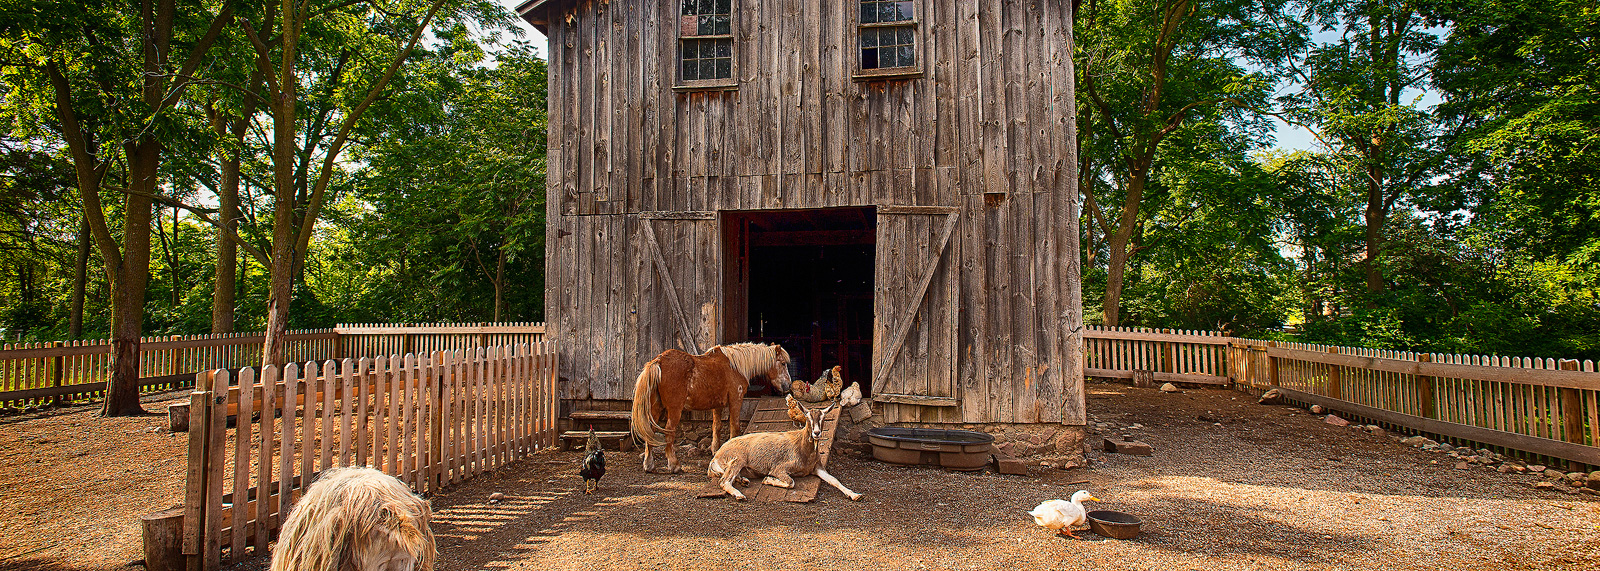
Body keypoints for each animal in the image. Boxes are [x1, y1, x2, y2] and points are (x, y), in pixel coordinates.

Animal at [630, 342, 793, 470]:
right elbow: (734, 427)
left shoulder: (717, 404)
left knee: (651, 431)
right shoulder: (736, 399)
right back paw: (674, 464)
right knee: (669, 432)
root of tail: (658, 361)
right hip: (674, 409)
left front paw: (715, 449)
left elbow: (717, 426)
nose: (788, 386)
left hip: (656, 408)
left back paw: (648, 464)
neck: (735, 366)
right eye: (783, 363)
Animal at [710, 399, 864, 499]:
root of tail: (716, 457)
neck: (804, 452)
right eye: (808, 418)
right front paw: (768, 479)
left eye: (823, 418)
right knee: (724, 481)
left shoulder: (817, 468)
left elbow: (834, 480)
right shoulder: (779, 468)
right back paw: (739, 494)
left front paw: (855, 495)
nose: (816, 433)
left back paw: (743, 481)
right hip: (737, 459)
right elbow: (791, 482)